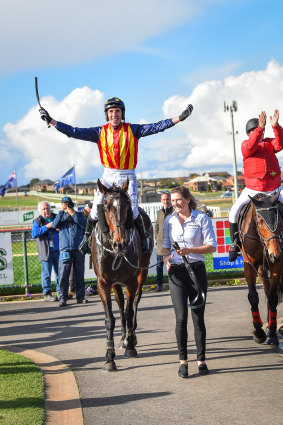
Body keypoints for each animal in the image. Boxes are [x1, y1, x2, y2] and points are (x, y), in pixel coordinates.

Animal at [91, 177, 153, 370]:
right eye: (106, 206)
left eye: (127, 207)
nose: (120, 243)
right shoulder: (103, 283)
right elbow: (110, 318)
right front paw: (110, 357)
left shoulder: (132, 281)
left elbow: (129, 311)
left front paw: (131, 347)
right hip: (116, 284)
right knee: (119, 304)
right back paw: (123, 337)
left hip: (142, 273)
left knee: (134, 303)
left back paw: (131, 337)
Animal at [240, 192, 283, 344]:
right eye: (259, 222)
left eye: (280, 221)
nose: (274, 254)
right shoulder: (250, 266)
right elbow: (253, 297)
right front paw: (259, 331)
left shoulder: (277, 265)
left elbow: (273, 298)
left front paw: (272, 333)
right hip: (261, 270)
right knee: (265, 291)